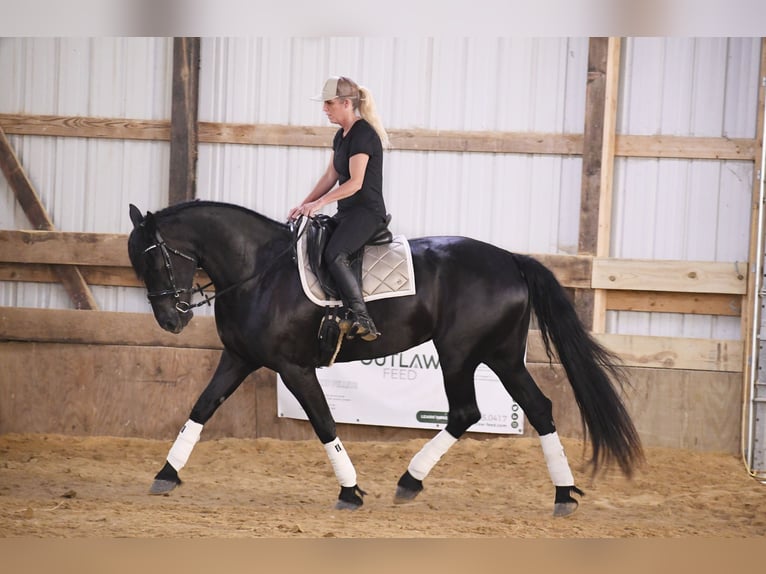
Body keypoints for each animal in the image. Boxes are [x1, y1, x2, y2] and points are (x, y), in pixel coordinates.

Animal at [129, 201, 644, 516]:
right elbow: (200, 408)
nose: (169, 321)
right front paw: (165, 474)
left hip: (461, 353)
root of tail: (511, 260)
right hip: (502, 356)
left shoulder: (294, 368)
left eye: (154, 259)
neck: (258, 271)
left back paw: (411, 481)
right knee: (536, 408)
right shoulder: (238, 357)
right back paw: (562, 494)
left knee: (466, 411)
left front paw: (350, 491)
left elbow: (324, 423)